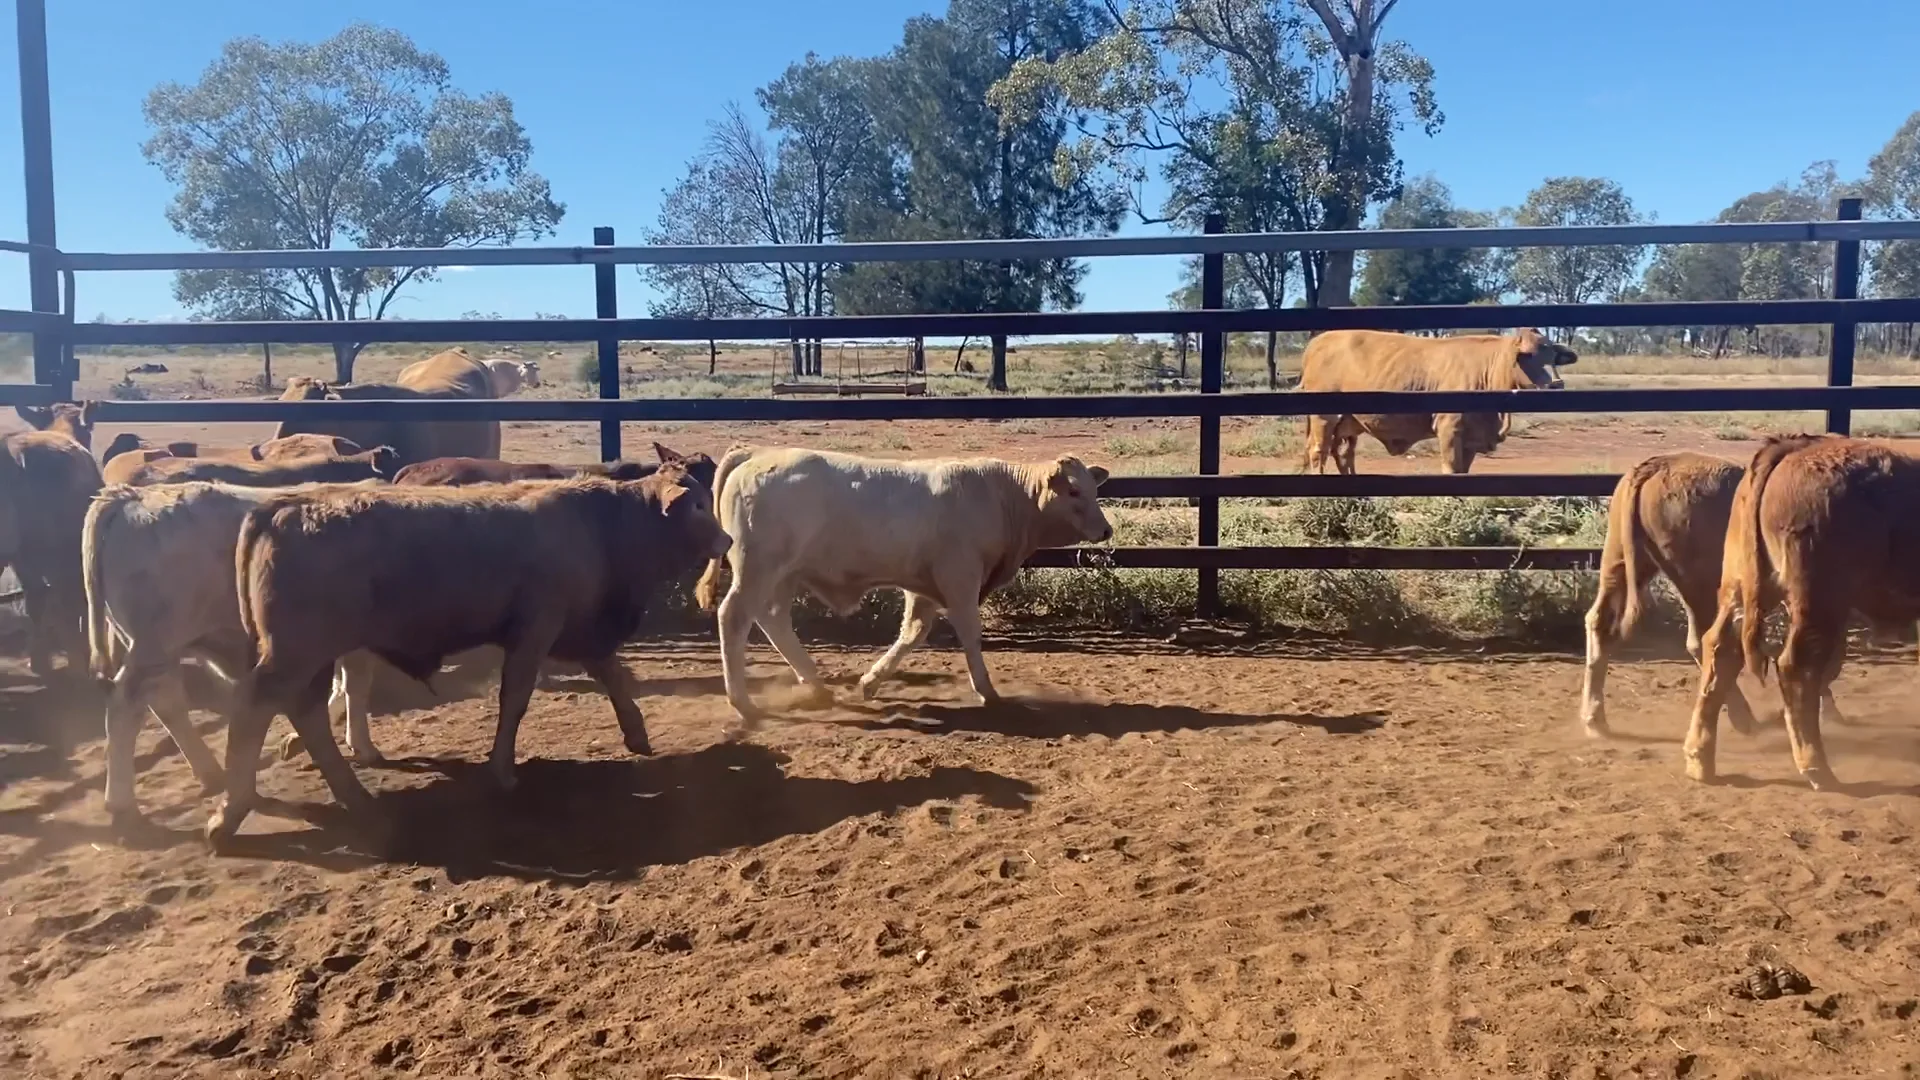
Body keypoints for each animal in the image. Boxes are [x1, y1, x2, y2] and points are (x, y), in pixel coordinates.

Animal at [81, 480, 392, 826]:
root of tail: (128, 495)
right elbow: (355, 686)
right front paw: (362, 745)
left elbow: (342, 685)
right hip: (153, 644)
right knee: (126, 705)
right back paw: (121, 801)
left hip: (158, 649)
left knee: (165, 702)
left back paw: (211, 773)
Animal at [203, 469, 732, 850]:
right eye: (697, 505)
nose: (726, 541)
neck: (596, 524)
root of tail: (282, 505)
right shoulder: (537, 628)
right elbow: (515, 696)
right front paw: (501, 770)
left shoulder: (581, 628)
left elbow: (613, 674)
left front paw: (637, 734)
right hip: (295, 654)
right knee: (255, 708)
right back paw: (230, 812)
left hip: (311, 657)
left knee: (305, 712)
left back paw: (353, 796)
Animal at [694, 448, 1113, 728]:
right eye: (1074, 492)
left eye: (1094, 490)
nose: (1106, 530)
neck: (1001, 495)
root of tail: (756, 454)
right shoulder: (959, 578)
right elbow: (969, 633)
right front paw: (986, 690)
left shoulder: (923, 587)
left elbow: (913, 632)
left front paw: (870, 682)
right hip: (758, 569)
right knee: (735, 617)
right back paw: (743, 701)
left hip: (784, 575)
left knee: (774, 619)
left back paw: (816, 685)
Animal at [1299, 329, 1577, 474]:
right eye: (1528, 355)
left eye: (1553, 356)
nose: (1556, 383)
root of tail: (1317, 341)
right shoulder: (1449, 429)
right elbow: (1451, 468)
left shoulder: (1472, 438)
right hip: (1324, 418)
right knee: (1318, 452)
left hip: (1349, 423)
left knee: (1344, 455)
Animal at [1685, 435, 1920, 790]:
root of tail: (1797, 446)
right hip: (1819, 600)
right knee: (1796, 666)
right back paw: (1817, 768)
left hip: (1739, 587)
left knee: (1720, 649)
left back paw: (1700, 761)